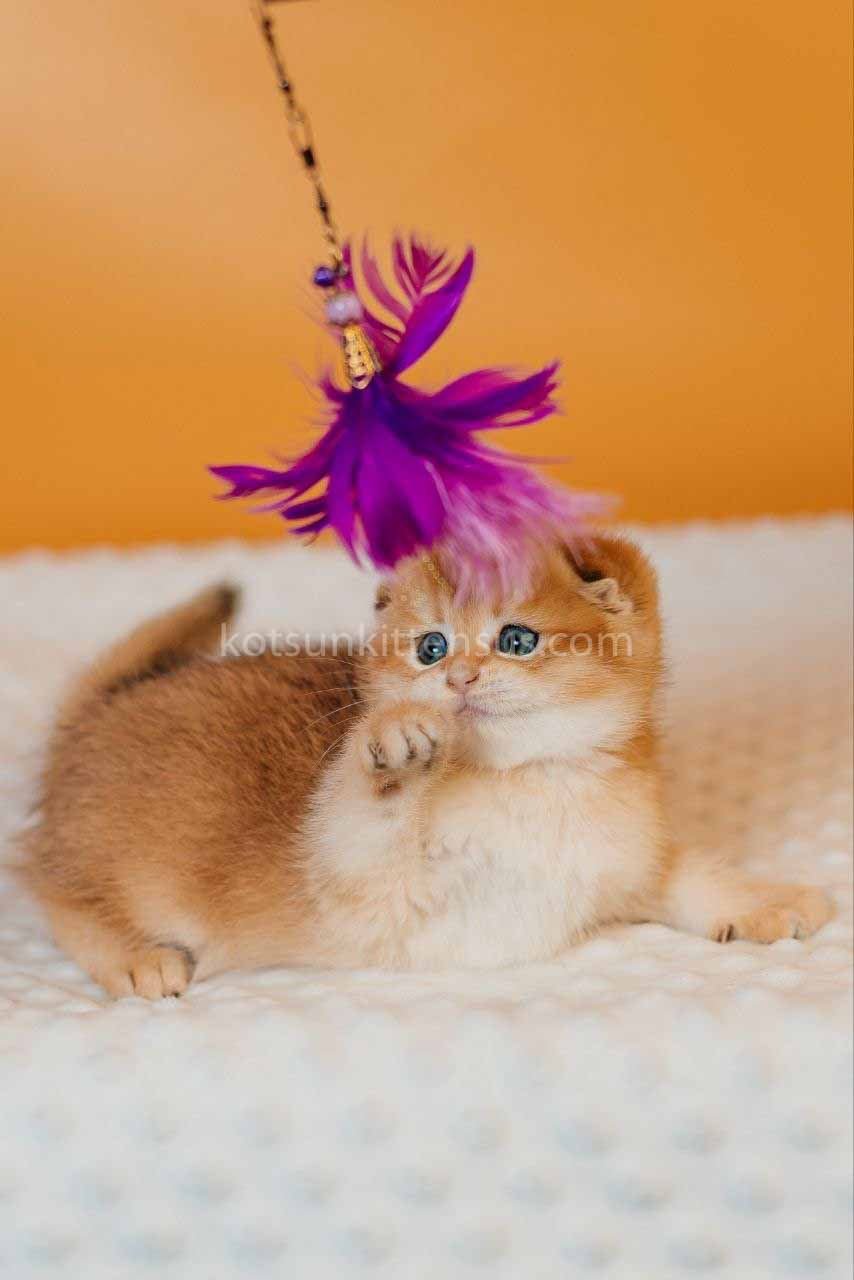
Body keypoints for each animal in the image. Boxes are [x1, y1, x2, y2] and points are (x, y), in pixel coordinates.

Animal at [20, 533, 832, 998]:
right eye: (431, 647)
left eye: (516, 639)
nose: (458, 679)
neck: (534, 782)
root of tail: (96, 712)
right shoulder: (368, 888)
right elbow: (364, 815)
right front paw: (395, 742)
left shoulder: (622, 863)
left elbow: (690, 873)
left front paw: (765, 898)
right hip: (116, 870)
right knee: (56, 894)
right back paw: (136, 958)